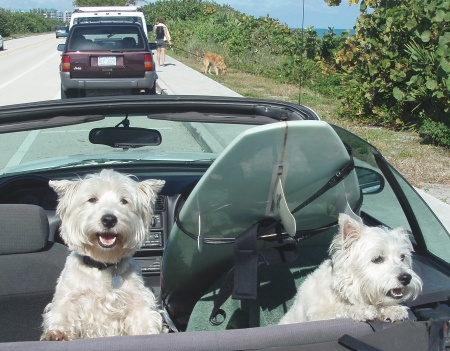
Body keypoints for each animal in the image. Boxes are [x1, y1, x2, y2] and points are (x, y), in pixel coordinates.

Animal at [41, 170, 165, 340]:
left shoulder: (136, 296)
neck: (103, 263)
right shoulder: (70, 296)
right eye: (92, 199)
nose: (109, 219)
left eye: (124, 201)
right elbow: (63, 314)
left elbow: (144, 316)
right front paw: (56, 334)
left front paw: (150, 333)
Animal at [280, 212, 424, 324]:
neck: (343, 291)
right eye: (377, 259)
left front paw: (393, 309)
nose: (406, 277)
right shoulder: (317, 316)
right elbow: (340, 311)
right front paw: (362, 310)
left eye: (402, 257)